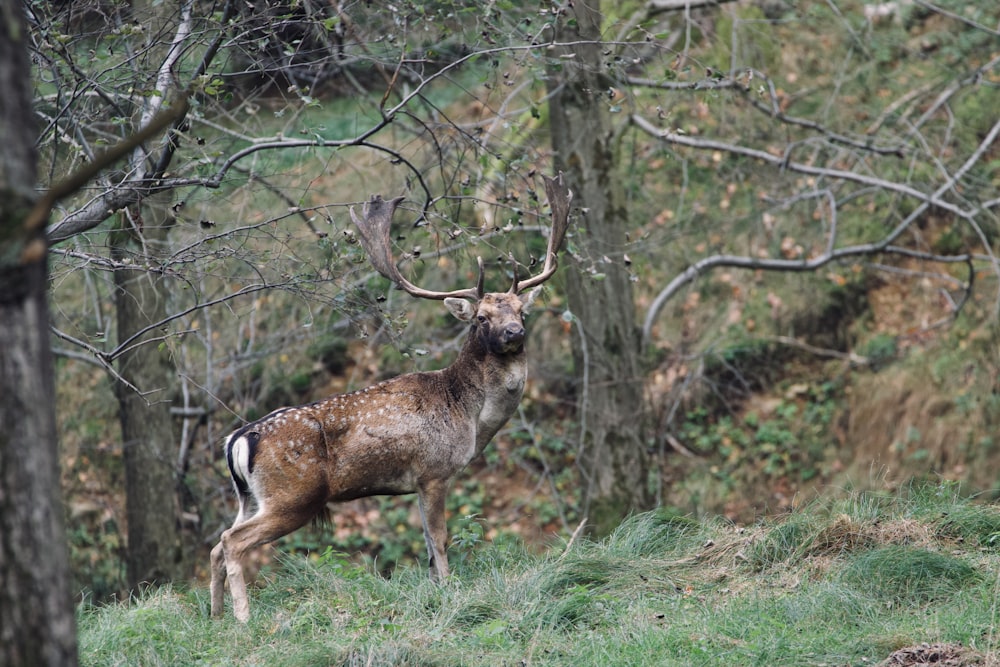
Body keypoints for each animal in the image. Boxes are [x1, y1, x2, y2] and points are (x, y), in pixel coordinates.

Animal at [209, 172, 572, 620]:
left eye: (522, 311)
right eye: (482, 318)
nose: (514, 333)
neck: (471, 416)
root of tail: (239, 439)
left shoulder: (416, 481)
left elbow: (428, 544)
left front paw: (435, 587)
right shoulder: (435, 470)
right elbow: (440, 538)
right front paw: (449, 590)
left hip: (249, 496)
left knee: (216, 543)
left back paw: (215, 615)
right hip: (292, 496)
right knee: (231, 541)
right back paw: (243, 617)